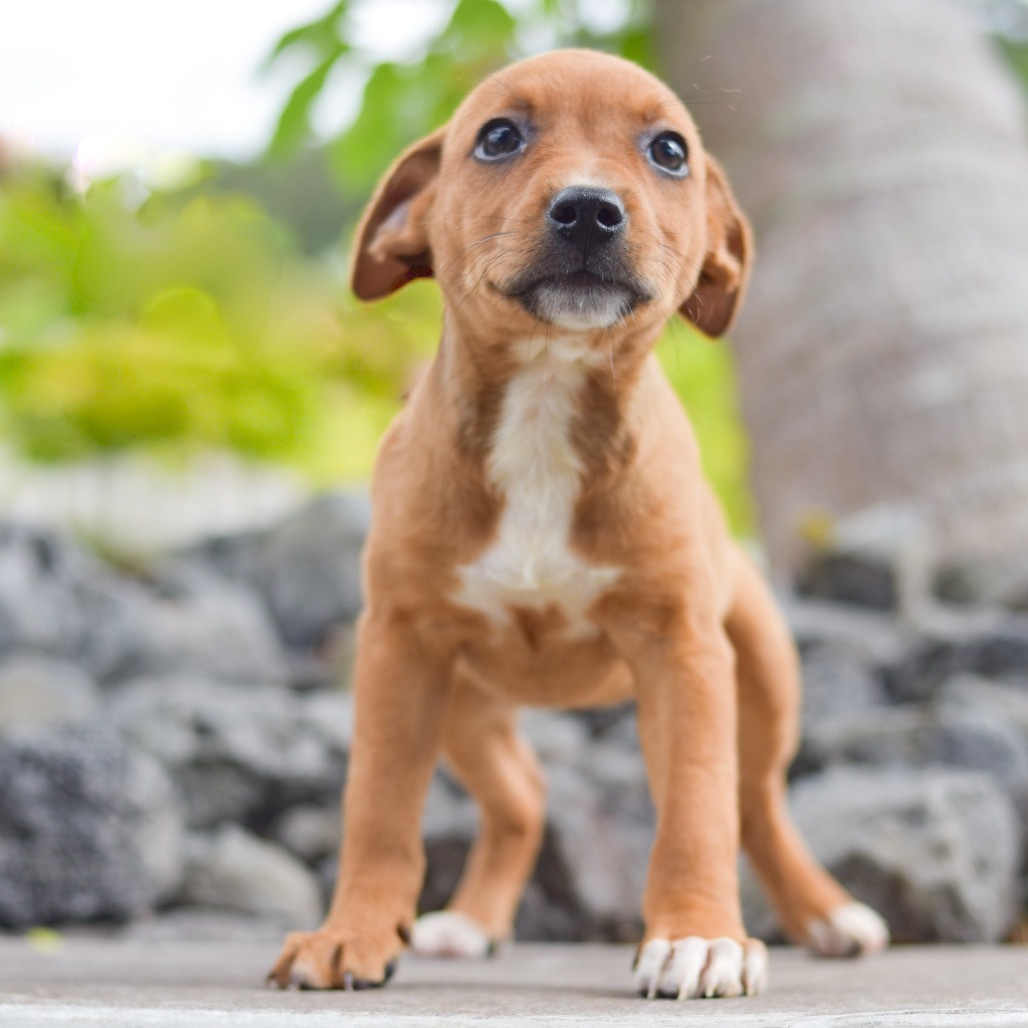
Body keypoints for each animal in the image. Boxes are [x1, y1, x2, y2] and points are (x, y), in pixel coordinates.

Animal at [269, 46, 888, 995]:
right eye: (498, 137)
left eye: (669, 151)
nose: (590, 208)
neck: (544, 400)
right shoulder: (399, 649)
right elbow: (377, 807)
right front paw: (354, 934)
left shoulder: (682, 650)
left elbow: (698, 807)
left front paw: (698, 936)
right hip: (464, 704)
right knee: (523, 797)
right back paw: (472, 924)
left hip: (761, 674)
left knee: (753, 800)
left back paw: (825, 913)